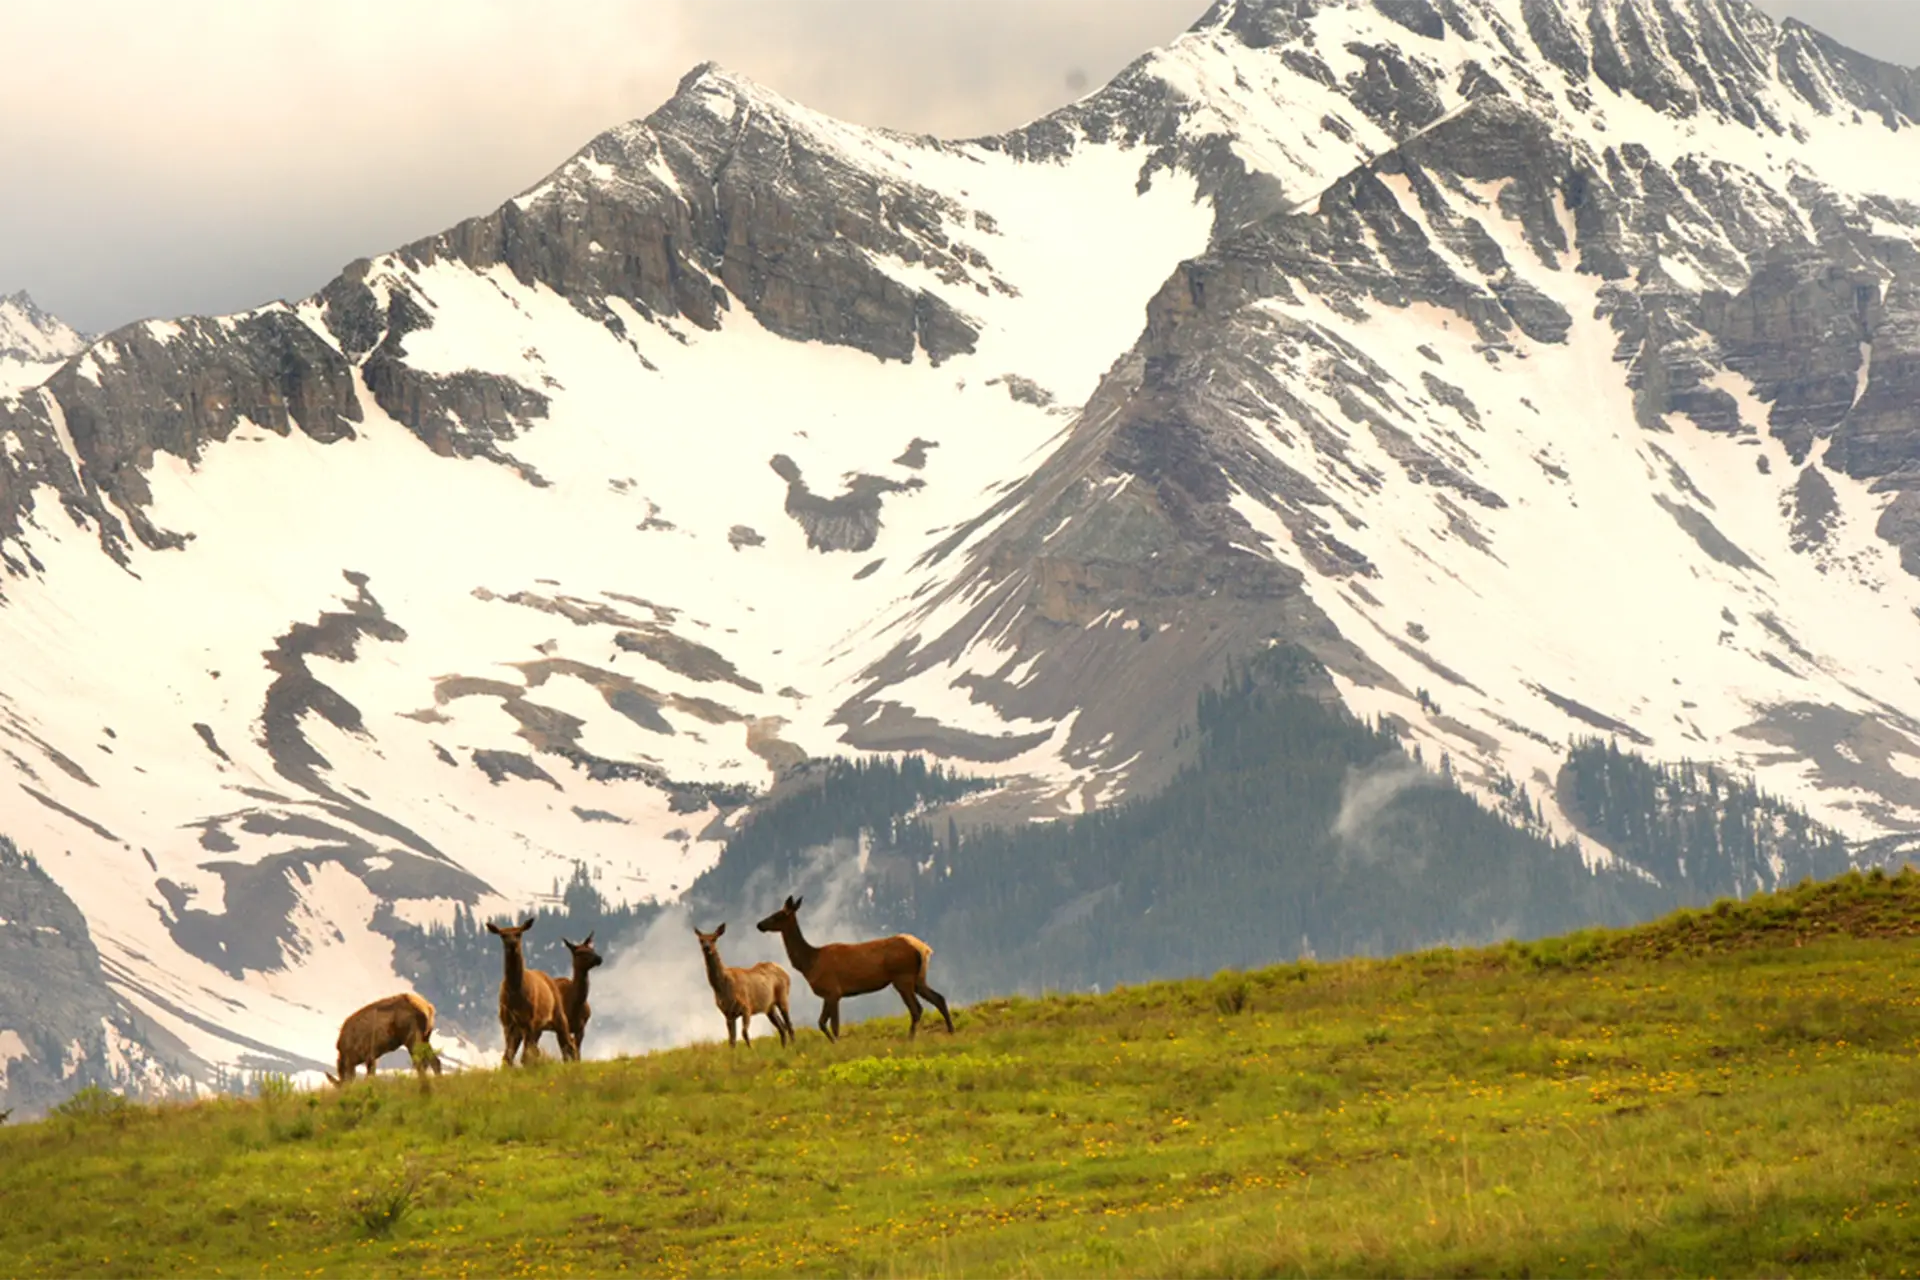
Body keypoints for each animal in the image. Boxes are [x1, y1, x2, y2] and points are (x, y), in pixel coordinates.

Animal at [485, 918, 577, 1065]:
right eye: (503, 935)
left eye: (519, 934)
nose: (512, 945)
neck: (516, 994)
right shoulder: (507, 1023)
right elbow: (508, 1057)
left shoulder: (530, 1020)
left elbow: (525, 1056)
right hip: (531, 1028)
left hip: (558, 1015)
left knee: (569, 1044)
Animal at [755, 895, 954, 1041]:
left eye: (778, 915)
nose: (759, 924)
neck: (809, 963)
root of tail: (922, 948)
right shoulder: (828, 994)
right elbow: (821, 1023)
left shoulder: (833, 991)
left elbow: (833, 1026)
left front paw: (837, 1045)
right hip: (918, 977)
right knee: (939, 998)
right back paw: (951, 1030)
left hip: (902, 977)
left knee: (916, 1009)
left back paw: (910, 1038)